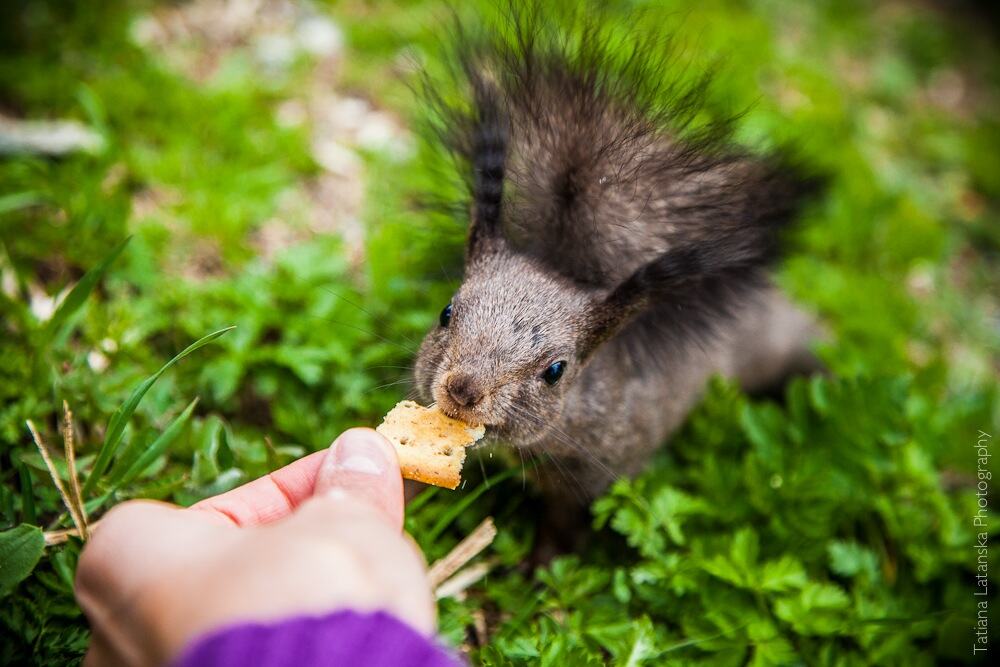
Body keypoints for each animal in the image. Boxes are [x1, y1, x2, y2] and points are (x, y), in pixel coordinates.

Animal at [411, 7, 823, 544]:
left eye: (556, 371)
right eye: (446, 312)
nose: (463, 391)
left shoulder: (600, 472)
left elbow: (566, 523)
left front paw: (542, 558)